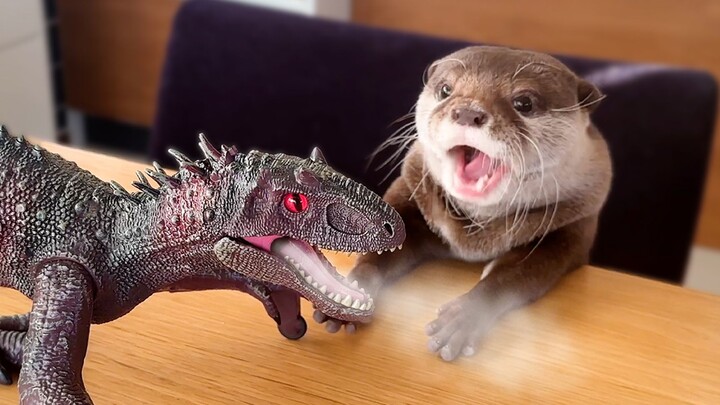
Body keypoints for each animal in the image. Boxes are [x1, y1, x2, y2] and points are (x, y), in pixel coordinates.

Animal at [315, 46, 612, 362]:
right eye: (446, 89)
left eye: (524, 102)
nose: (468, 111)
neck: (473, 241)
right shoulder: (410, 187)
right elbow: (377, 253)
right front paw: (346, 294)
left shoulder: (569, 229)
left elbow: (511, 277)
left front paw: (463, 318)